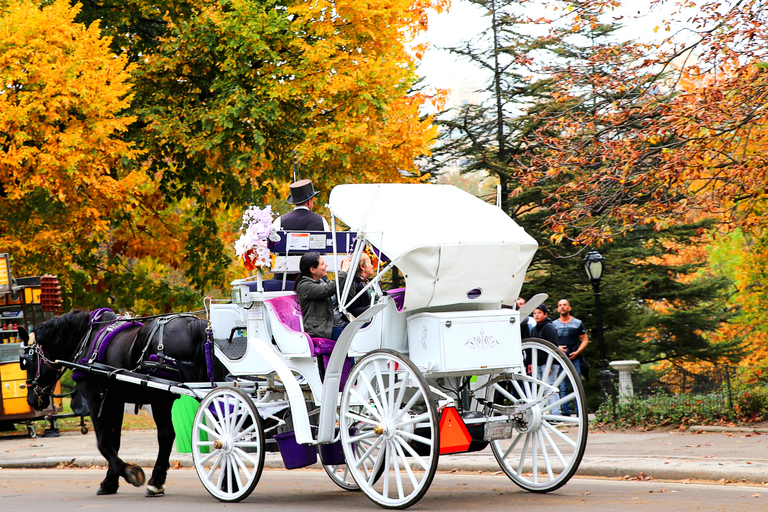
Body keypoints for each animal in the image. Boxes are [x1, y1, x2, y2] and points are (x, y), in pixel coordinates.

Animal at [21, 308, 218, 496]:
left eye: (26, 362)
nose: (31, 399)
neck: (87, 338)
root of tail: (192, 324)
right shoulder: (115, 400)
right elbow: (114, 442)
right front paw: (110, 481)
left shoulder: (96, 398)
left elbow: (103, 442)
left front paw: (130, 472)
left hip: (160, 398)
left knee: (166, 435)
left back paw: (156, 482)